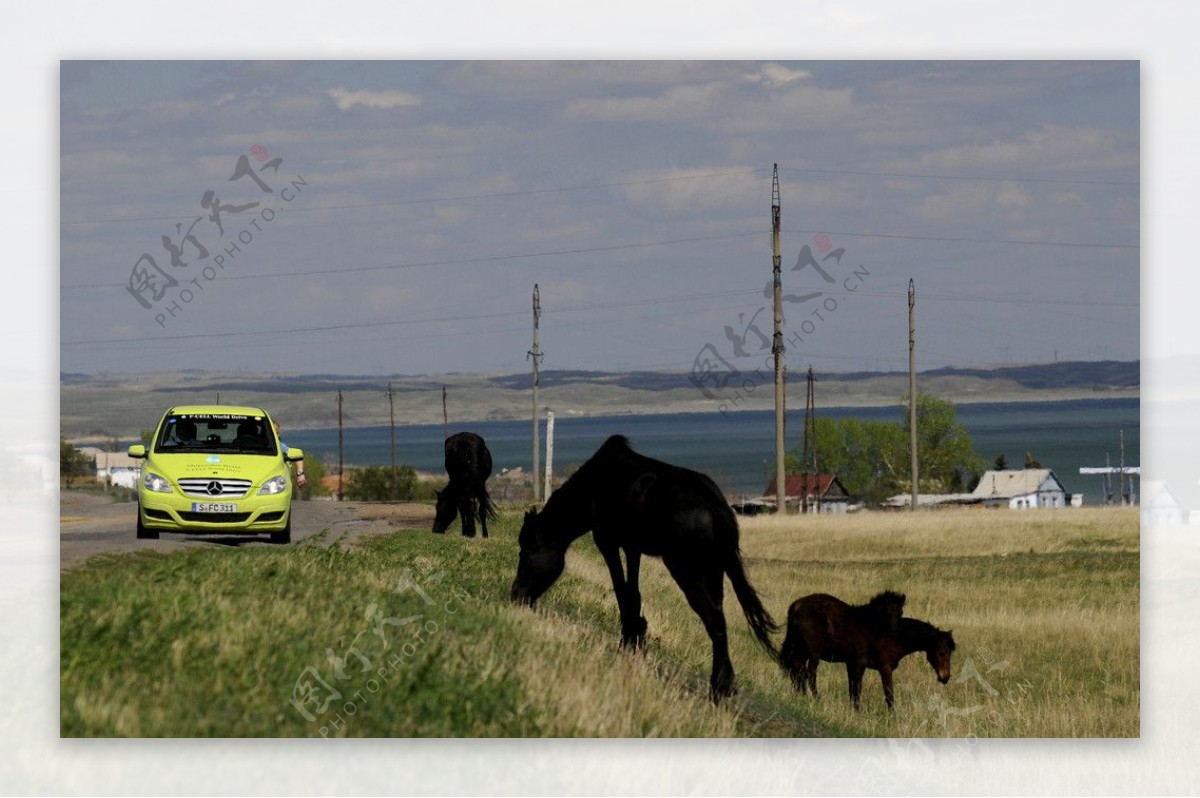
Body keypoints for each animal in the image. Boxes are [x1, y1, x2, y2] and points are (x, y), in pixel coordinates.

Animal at [506, 432, 777, 700]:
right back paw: (726, 683)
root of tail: (716, 507)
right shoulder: (632, 548)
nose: (515, 595)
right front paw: (636, 639)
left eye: (526, 551)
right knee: (719, 615)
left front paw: (627, 643)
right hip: (713, 570)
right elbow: (633, 594)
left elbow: (622, 591)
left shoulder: (608, 542)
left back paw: (718, 689)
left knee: (715, 620)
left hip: (685, 571)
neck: (596, 484)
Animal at [777, 590, 955, 710]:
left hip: (800, 653)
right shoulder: (879, 668)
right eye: (942, 652)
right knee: (810, 674)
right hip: (813, 654)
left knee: (797, 673)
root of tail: (797, 605)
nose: (945, 677)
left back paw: (799, 696)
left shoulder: (852, 665)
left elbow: (853, 690)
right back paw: (815, 698)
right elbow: (886, 694)